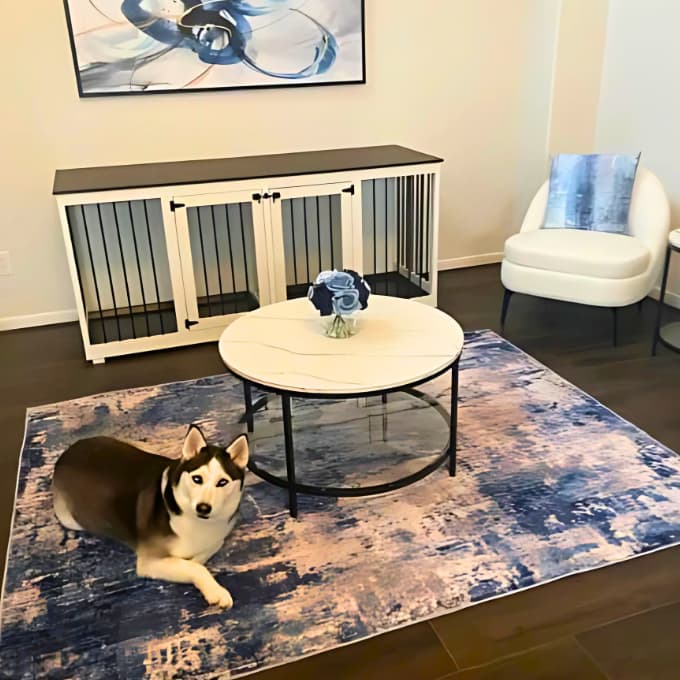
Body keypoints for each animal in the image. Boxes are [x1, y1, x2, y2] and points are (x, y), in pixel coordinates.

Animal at [52, 422, 250, 608]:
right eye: (197, 479)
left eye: (222, 482)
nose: (203, 508)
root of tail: (68, 452)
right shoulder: (149, 561)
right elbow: (193, 567)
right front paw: (215, 591)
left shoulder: (217, 538)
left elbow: (200, 556)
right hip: (68, 518)